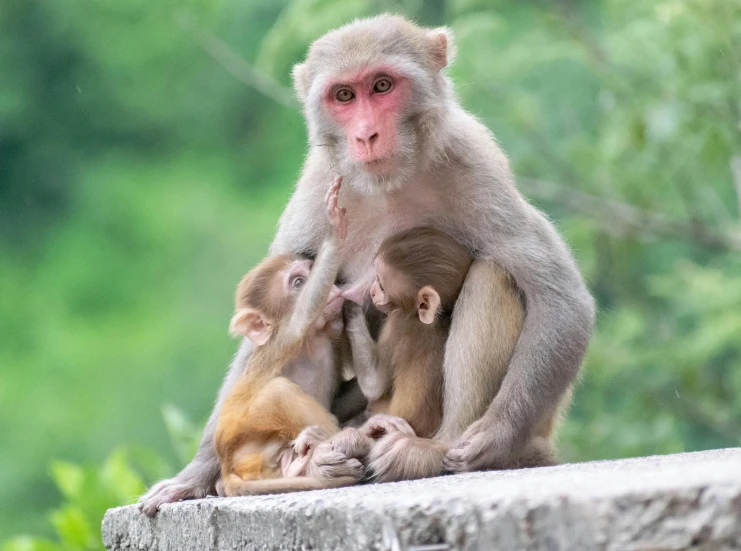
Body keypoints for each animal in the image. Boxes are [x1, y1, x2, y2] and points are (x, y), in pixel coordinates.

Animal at [214, 179, 364, 498]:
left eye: (309, 273)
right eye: (297, 282)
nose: (334, 288)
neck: (314, 338)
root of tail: (227, 467)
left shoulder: (332, 328)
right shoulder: (286, 336)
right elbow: (303, 314)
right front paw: (334, 230)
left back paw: (297, 464)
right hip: (248, 444)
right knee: (278, 391)